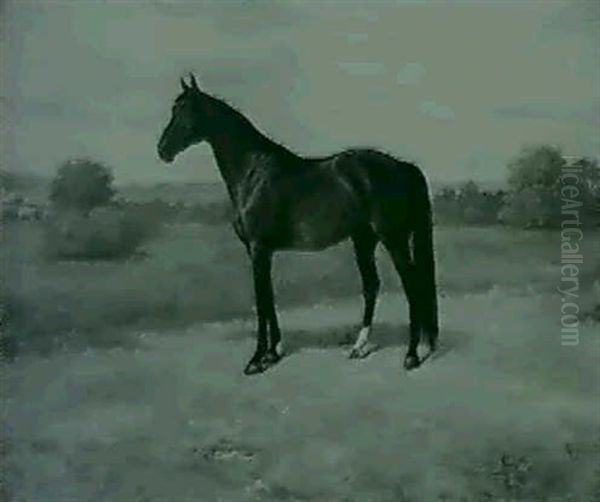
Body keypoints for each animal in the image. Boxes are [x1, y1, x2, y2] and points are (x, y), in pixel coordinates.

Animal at [158, 73, 440, 372]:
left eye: (185, 110)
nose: (162, 150)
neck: (254, 172)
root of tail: (402, 166)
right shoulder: (261, 252)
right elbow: (269, 299)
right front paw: (273, 352)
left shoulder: (258, 249)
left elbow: (261, 302)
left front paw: (257, 359)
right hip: (364, 239)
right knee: (371, 285)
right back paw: (361, 347)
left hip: (393, 238)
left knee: (412, 285)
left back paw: (411, 355)